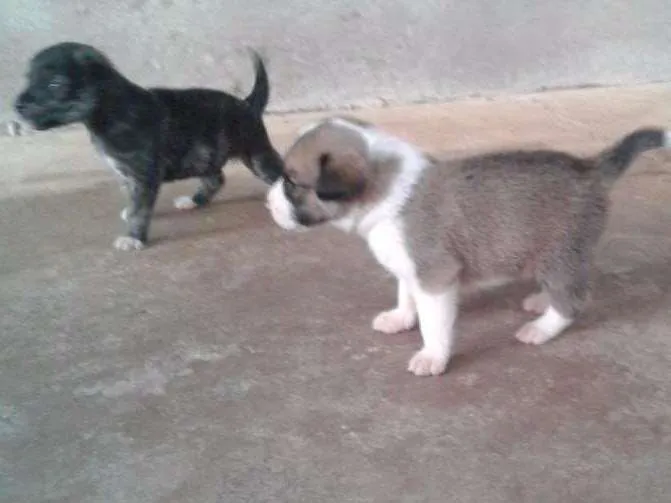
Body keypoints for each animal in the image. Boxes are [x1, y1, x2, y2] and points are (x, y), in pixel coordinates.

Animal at [15, 42, 284, 251]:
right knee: (216, 178)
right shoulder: (126, 174)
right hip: (204, 155)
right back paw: (194, 200)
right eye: (28, 78)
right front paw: (129, 214)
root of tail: (247, 104)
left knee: (279, 174)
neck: (110, 111)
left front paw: (133, 237)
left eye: (55, 84)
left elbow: (141, 210)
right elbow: (133, 202)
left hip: (256, 154)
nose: (17, 106)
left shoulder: (143, 175)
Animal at [268, 117, 671, 378]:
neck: (387, 193)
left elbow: (434, 324)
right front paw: (400, 318)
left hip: (561, 254)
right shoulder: (411, 268)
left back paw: (541, 327)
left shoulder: (435, 277)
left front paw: (432, 356)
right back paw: (540, 301)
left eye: (291, 182)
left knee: (572, 300)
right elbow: (405, 294)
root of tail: (591, 167)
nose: (268, 206)